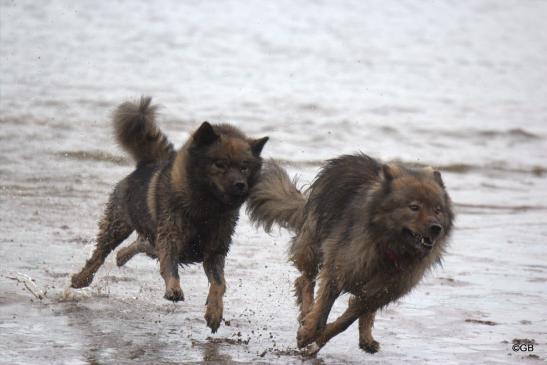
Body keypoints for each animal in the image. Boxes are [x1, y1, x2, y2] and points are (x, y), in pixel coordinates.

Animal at [70, 97, 268, 332]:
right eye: (220, 164)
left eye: (244, 167)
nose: (240, 185)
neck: (206, 211)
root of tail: (147, 164)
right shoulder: (171, 238)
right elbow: (170, 269)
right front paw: (174, 289)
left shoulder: (215, 251)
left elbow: (219, 284)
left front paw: (214, 312)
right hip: (118, 224)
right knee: (99, 254)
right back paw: (81, 278)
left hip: (152, 237)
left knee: (141, 243)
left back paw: (121, 257)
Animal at [247, 155, 454, 354]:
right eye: (414, 207)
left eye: (437, 209)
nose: (436, 228)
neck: (389, 250)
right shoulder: (338, 271)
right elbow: (322, 312)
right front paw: (308, 333)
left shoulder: (380, 292)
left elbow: (345, 321)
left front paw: (319, 339)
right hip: (313, 245)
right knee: (305, 280)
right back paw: (306, 314)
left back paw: (366, 338)